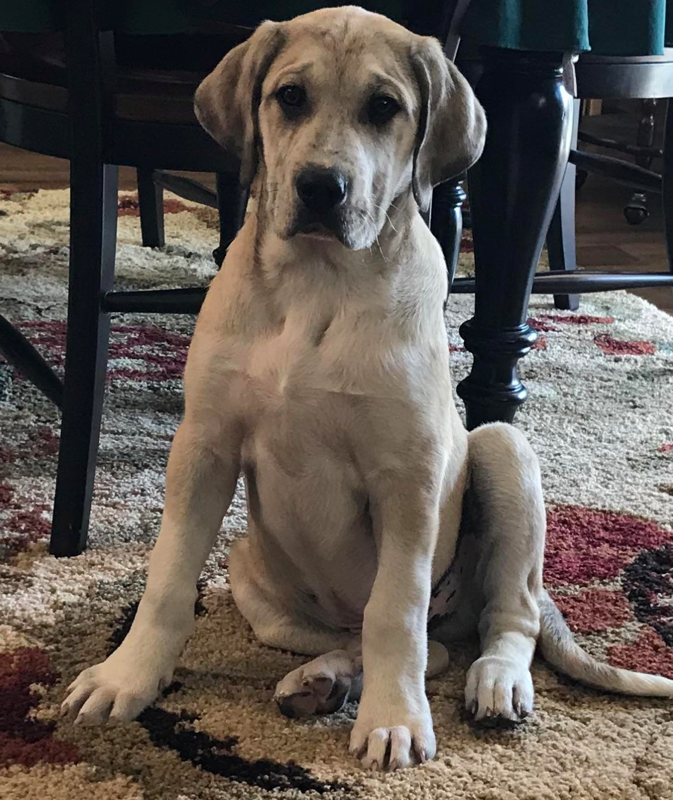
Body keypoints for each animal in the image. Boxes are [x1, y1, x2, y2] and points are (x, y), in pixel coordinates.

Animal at [63, 3, 672, 772]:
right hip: (249, 569)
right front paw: (126, 678)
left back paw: (495, 681)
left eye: (384, 108)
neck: (318, 283)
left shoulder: (406, 474)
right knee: (406, 645)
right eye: (289, 97)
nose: (322, 188)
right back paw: (319, 679)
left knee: (501, 618)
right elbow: (168, 577)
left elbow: (395, 610)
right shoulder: (203, 447)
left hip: (501, 450)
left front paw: (394, 720)